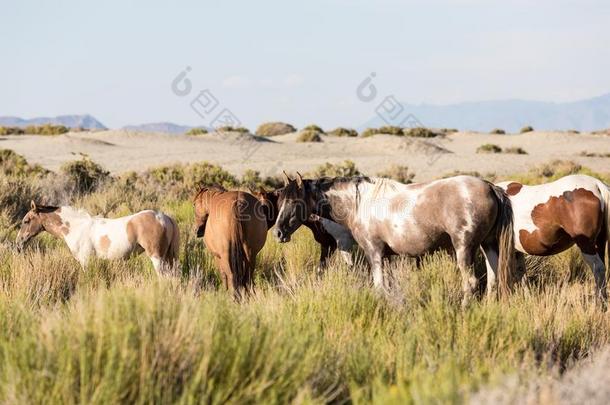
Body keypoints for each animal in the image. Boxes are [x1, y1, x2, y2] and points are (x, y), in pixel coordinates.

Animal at [15, 200, 179, 274]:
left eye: (26, 221)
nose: (18, 244)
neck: (76, 227)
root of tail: (164, 217)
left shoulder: (85, 262)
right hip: (169, 257)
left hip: (157, 258)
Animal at [274, 172, 516, 304]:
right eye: (280, 200)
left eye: (294, 201)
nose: (277, 232)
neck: (359, 203)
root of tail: (490, 187)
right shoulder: (387, 256)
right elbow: (388, 285)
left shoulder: (373, 253)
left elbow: (379, 286)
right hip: (488, 245)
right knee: (493, 280)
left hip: (464, 248)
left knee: (471, 283)